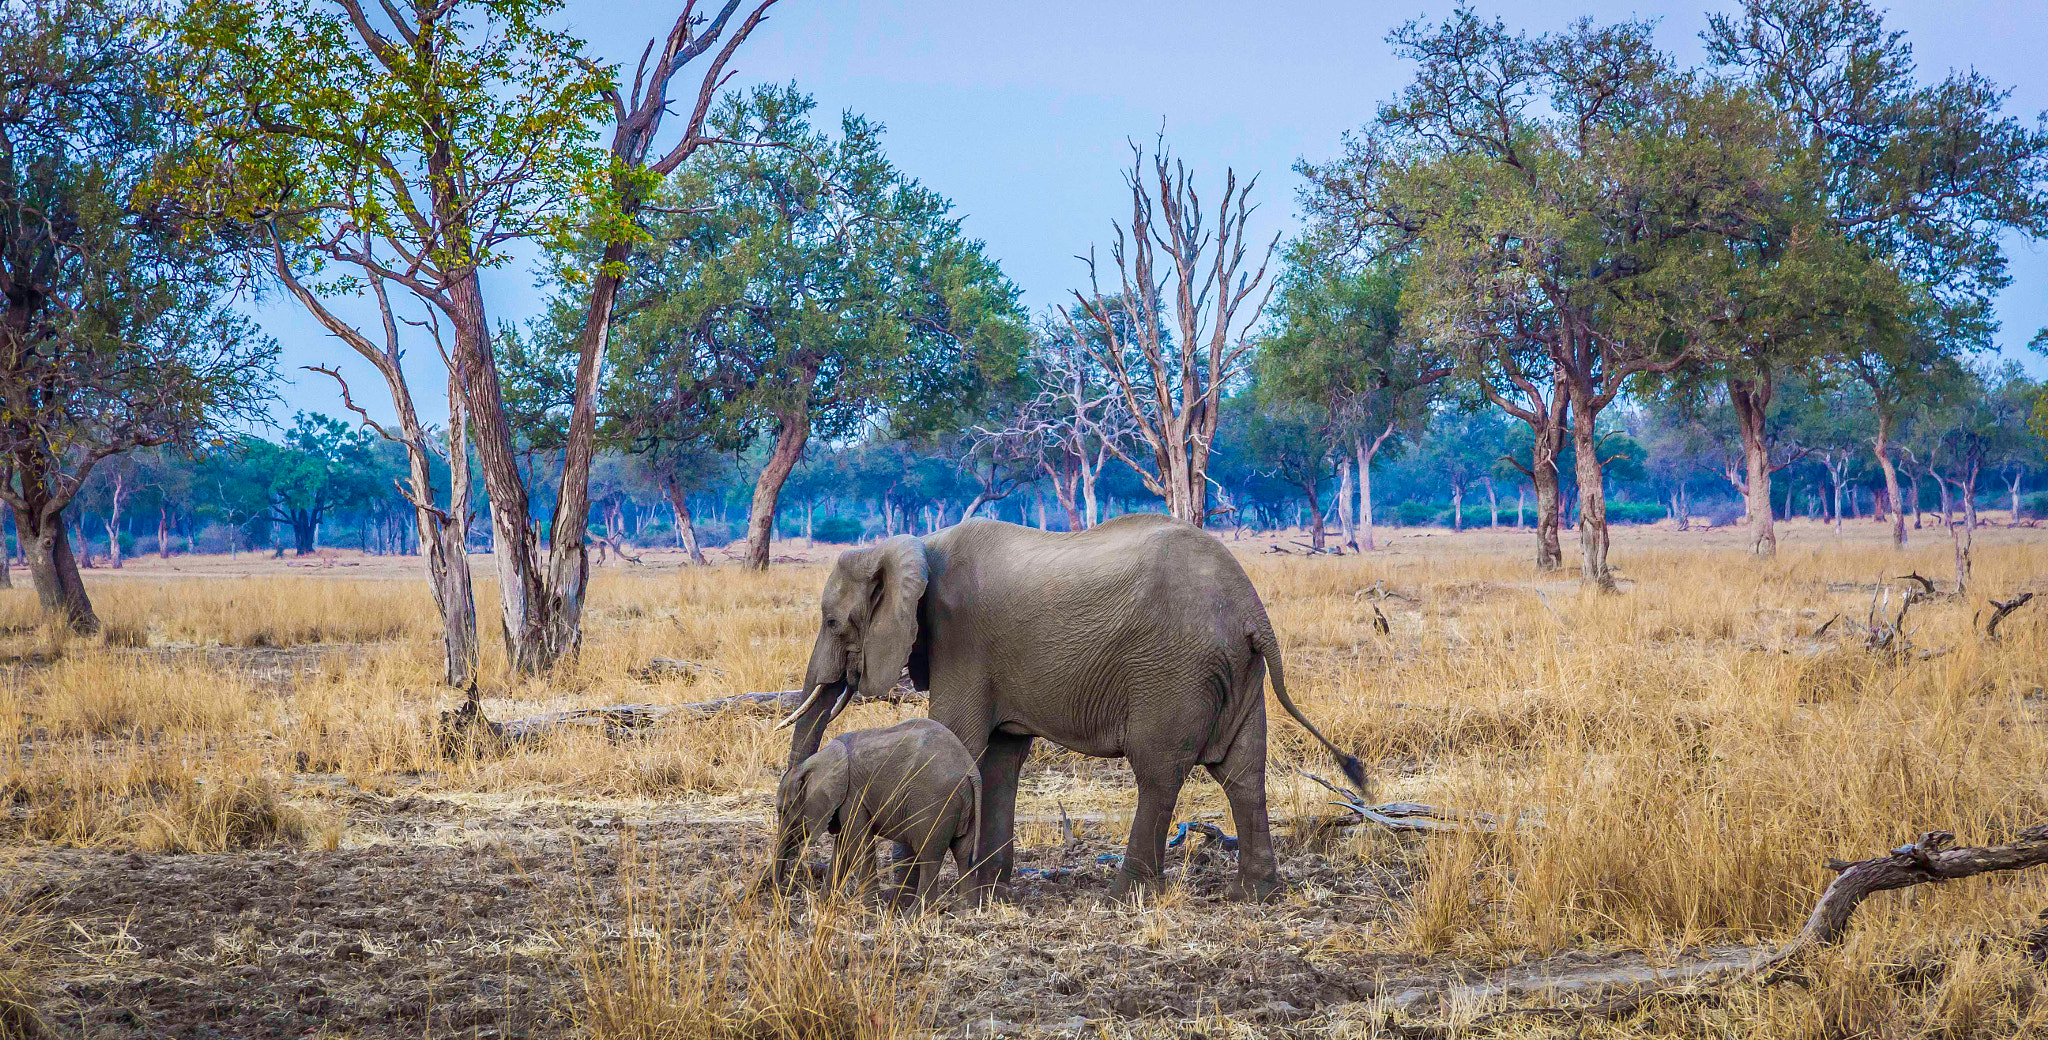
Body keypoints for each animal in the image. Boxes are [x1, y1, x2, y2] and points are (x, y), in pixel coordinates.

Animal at [773, 718, 982, 908]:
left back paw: (913, 916)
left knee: (929, 856)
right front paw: (822, 906)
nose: (783, 889)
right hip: (963, 803)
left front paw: (868, 910)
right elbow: (842, 847)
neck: (814, 762)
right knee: (963, 852)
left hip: (935, 802)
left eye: (783, 809)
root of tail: (970, 770)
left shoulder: (852, 795)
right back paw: (964, 912)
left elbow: (858, 844)